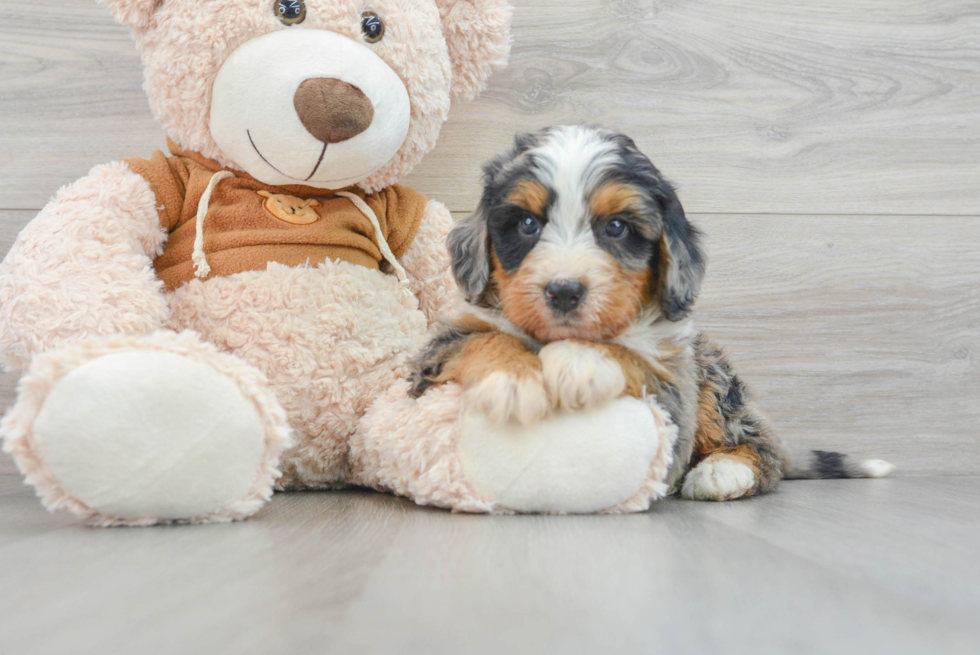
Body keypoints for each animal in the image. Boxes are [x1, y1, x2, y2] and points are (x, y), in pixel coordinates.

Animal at [410, 124, 892, 502]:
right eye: (528, 224)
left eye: (616, 227)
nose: (564, 291)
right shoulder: (439, 347)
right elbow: (486, 338)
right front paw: (512, 381)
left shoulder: (674, 388)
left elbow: (632, 356)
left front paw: (581, 361)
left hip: (713, 378)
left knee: (762, 448)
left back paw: (723, 471)